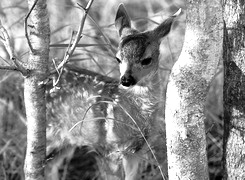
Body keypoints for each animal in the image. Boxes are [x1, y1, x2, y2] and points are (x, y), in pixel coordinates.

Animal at [45, 3, 180, 180]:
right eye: (118, 59)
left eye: (146, 60)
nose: (126, 80)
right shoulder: (108, 147)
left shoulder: (137, 150)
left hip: (66, 141)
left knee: (50, 167)